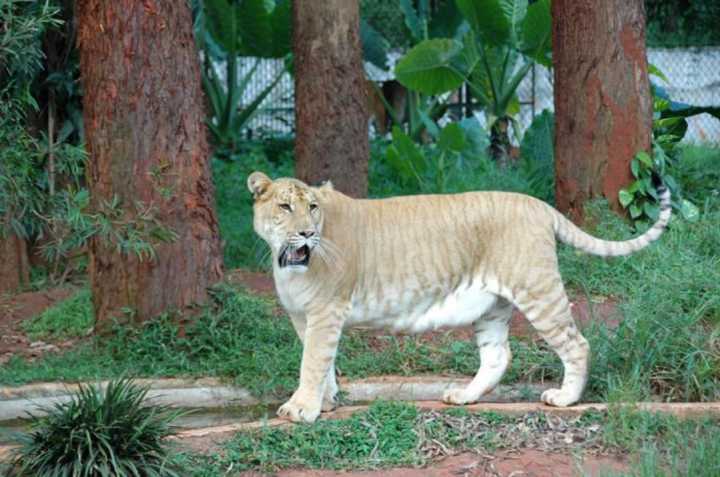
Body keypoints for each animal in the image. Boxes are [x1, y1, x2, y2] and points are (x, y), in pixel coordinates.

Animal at [247, 171, 671, 423]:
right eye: (285, 206)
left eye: (312, 208)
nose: (306, 233)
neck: (287, 261)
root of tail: (539, 204)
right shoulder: (304, 317)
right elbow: (325, 364)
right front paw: (326, 402)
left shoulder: (325, 311)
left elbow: (312, 362)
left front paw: (300, 408)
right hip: (492, 306)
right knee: (499, 355)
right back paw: (465, 396)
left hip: (538, 288)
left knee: (576, 343)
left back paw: (565, 398)